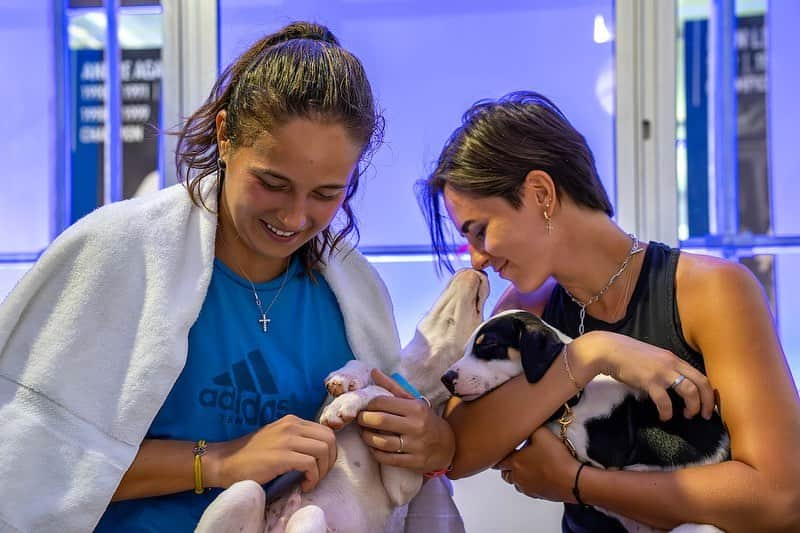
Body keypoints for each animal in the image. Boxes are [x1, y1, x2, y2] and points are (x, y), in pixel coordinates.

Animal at [197, 270, 490, 532]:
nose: (483, 271)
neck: (414, 375)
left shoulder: (402, 486)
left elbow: (382, 391)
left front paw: (347, 403)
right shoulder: (319, 414)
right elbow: (365, 365)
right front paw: (347, 378)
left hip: (309, 515)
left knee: (308, 515)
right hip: (243, 492)